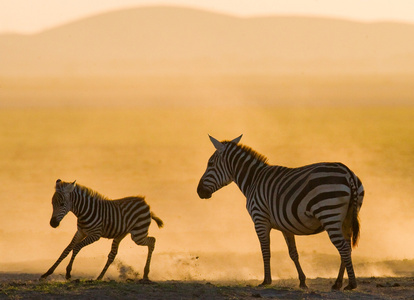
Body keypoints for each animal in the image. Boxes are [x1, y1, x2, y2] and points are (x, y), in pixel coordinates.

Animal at [197, 135, 362, 290]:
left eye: (210, 163)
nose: (199, 191)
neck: (253, 180)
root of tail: (347, 172)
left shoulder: (260, 219)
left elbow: (265, 250)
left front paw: (266, 281)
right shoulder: (286, 225)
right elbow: (293, 253)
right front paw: (302, 281)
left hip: (329, 214)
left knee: (343, 247)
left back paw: (351, 284)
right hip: (347, 218)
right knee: (347, 247)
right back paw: (338, 283)